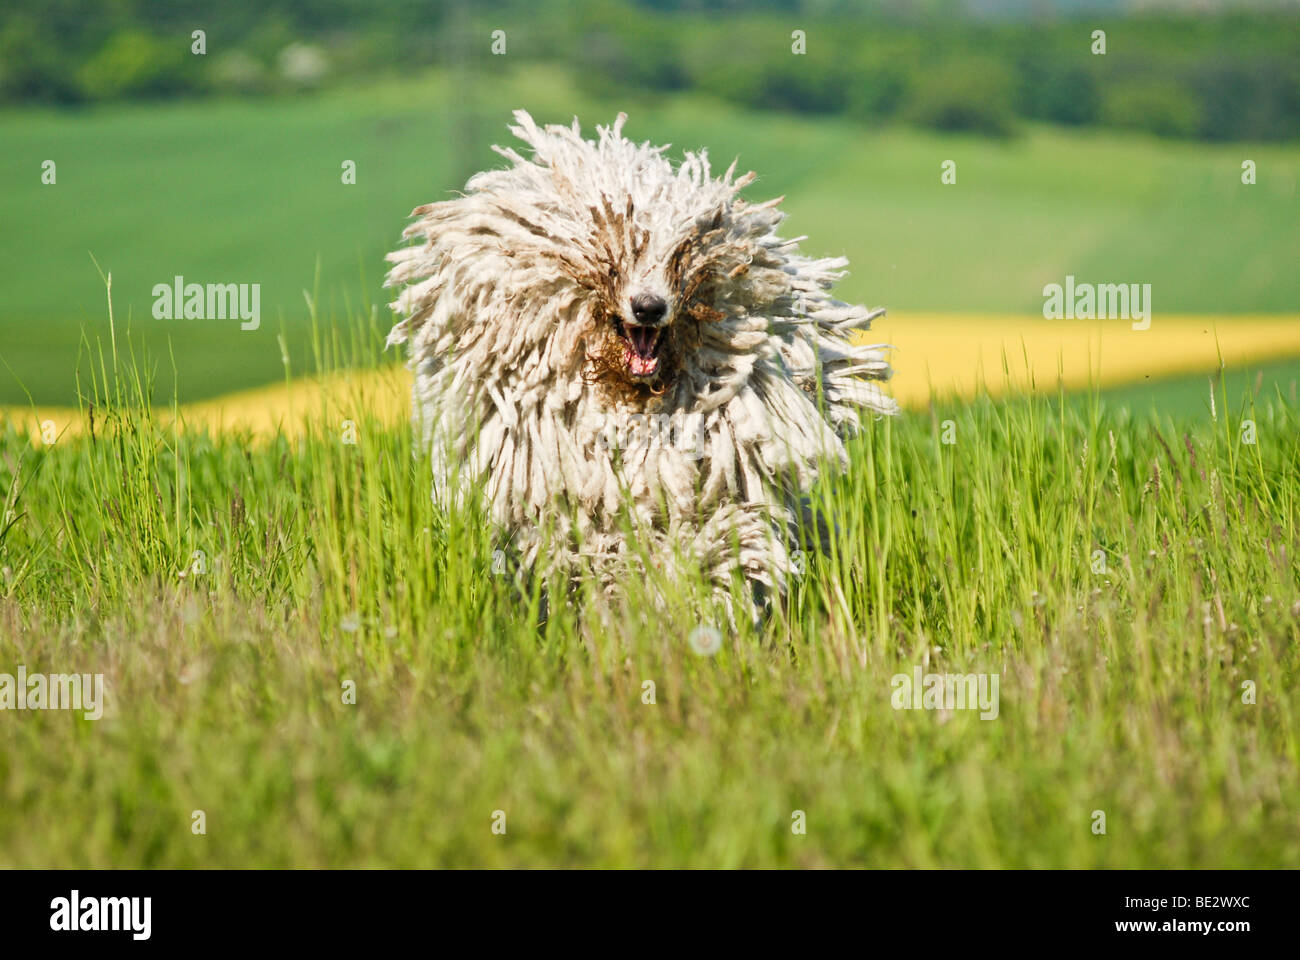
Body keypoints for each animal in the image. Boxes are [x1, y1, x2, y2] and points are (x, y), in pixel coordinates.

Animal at [384, 111, 894, 621]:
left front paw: (690, 589)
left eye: (682, 254)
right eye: (619, 249)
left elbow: (707, 532)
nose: (649, 307)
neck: (624, 395)